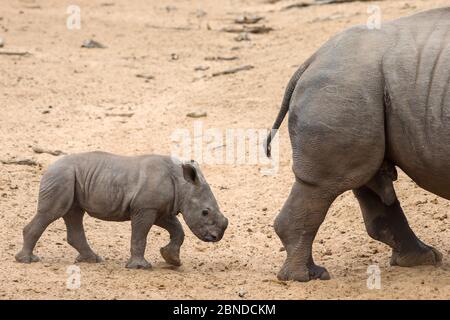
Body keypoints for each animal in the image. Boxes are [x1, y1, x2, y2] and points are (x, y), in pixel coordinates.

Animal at [14, 151, 229, 268]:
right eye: (205, 212)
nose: (215, 237)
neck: (183, 184)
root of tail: (48, 167)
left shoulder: (160, 208)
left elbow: (178, 230)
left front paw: (172, 259)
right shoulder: (145, 208)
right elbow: (140, 236)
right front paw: (140, 267)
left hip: (70, 178)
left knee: (74, 214)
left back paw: (92, 259)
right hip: (61, 176)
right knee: (51, 213)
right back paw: (27, 260)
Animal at [266, 7, 448, 282]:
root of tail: (311, 59)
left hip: (359, 86)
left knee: (365, 177)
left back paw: (423, 259)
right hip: (343, 86)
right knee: (327, 184)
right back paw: (307, 277)